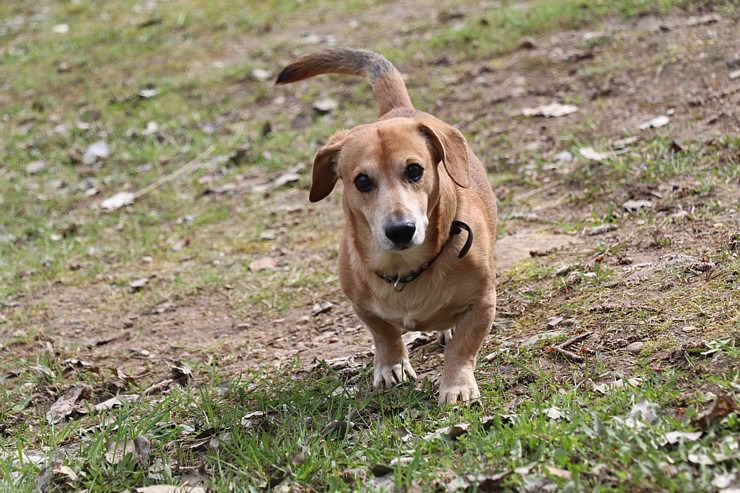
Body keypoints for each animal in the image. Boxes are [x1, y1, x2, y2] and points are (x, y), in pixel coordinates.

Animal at [278, 49, 498, 404]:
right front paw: (390, 366)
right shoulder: (362, 305)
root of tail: (396, 110)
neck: (403, 269)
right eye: (362, 181)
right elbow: (384, 335)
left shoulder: (483, 303)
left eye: (414, 170)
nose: (400, 230)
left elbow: (462, 348)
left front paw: (456, 385)